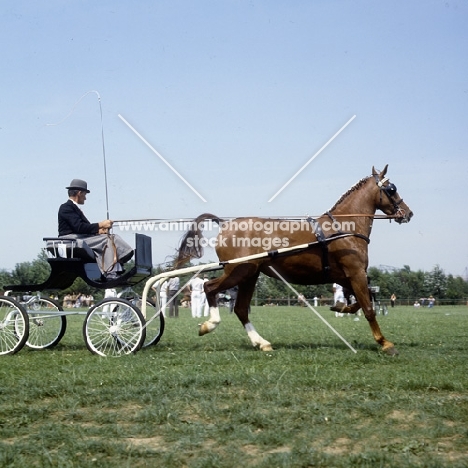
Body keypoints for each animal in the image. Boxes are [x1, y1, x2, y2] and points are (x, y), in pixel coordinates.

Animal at [176, 166, 414, 352]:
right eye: (391, 188)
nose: (408, 213)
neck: (344, 229)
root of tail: (226, 224)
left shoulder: (346, 276)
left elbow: (359, 302)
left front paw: (340, 308)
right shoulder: (356, 273)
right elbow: (368, 308)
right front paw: (384, 343)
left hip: (250, 275)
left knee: (241, 308)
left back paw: (261, 342)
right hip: (238, 271)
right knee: (210, 288)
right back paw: (210, 324)